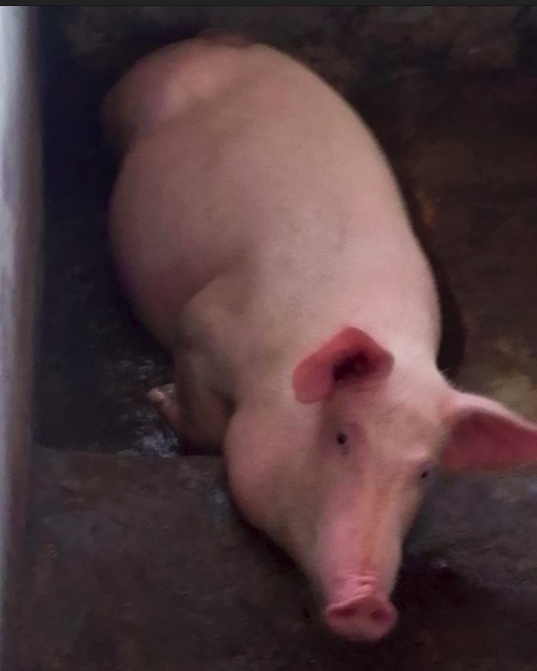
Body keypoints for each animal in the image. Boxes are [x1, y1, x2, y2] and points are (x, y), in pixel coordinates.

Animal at [102, 36, 537, 642]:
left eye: (425, 470)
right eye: (342, 437)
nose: (368, 604)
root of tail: (205, 39)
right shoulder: (202, 327)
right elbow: (208, 426)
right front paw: (157, 398)